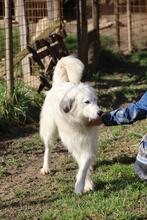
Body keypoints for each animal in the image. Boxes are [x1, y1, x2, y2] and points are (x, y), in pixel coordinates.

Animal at [39, 55, 100, 194]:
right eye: (87, 102)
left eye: (95, 100)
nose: (101, 112)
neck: (80, 123)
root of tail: (60, 83)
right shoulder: (74, 144)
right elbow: (82, 166)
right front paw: (82, 185)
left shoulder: (88, 144)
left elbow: (84, 164)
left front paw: (85, 183)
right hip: (50, 130)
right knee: (48, 149)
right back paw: (46, 168)